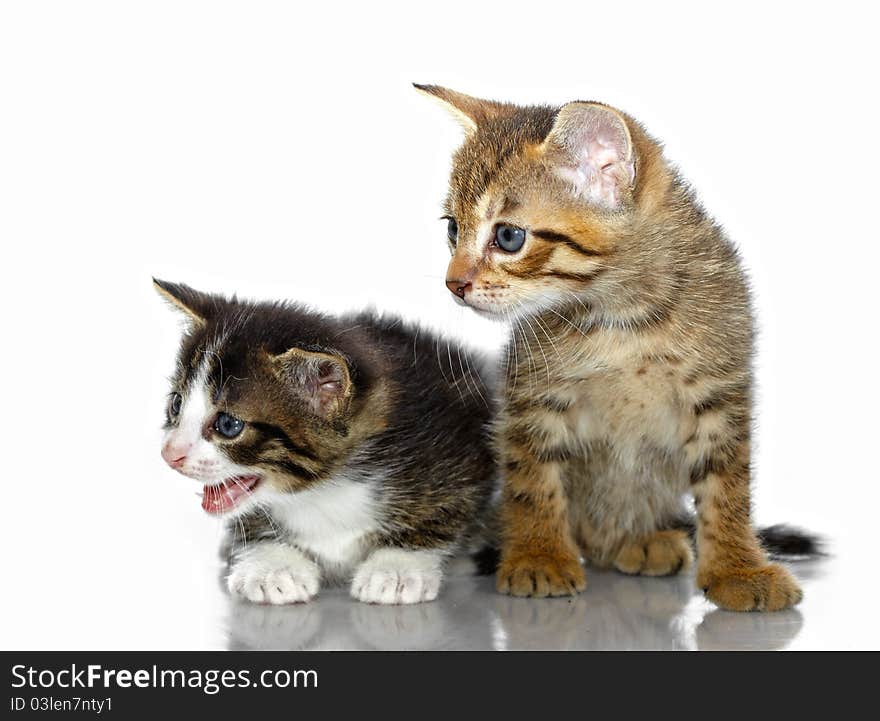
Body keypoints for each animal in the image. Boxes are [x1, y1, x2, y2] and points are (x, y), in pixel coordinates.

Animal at [156, 278, 498, 604]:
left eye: (228, 425)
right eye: (176, 404)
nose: (169, 454)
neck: (323, 492)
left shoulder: (462, 451)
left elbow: (443, 514)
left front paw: (396, 568)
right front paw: (272, 565)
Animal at [416, 86, 808, 612]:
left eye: (508, 237)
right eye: (452, 229)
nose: (453, 284)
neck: (623, 318)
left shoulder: (720, 387)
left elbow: (727, 487)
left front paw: (737, 568)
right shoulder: (532, 394)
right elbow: (531, 481)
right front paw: (538, 555)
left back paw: (639, 540)